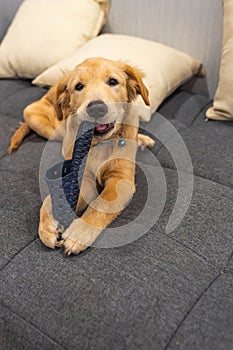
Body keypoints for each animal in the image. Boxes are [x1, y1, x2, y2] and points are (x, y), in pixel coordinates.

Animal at [9, 57, 155, 254]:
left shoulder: (121, 178)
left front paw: (79, 232)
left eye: (113, 81)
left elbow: (102, 203)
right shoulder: (82, 177)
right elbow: (50, 199)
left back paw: (143, 140)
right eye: (78, 86)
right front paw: (47, 225)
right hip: (42, 122)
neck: (101, 142)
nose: (96, 109)